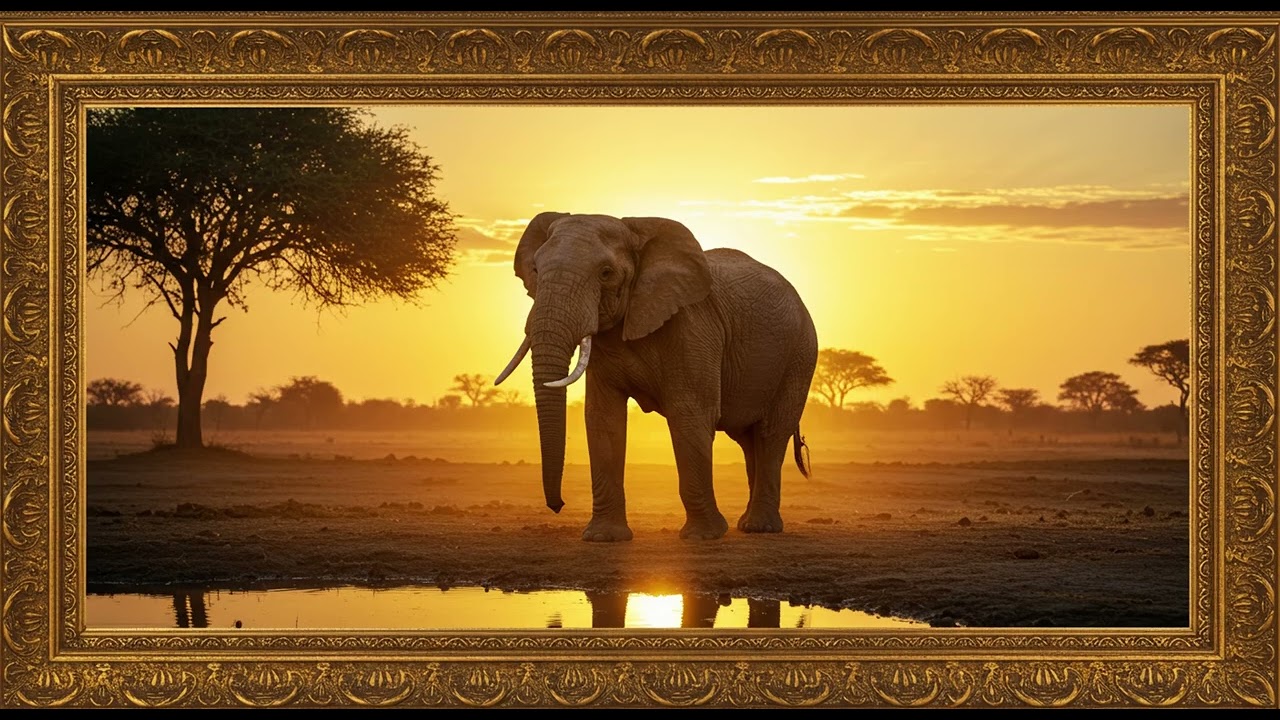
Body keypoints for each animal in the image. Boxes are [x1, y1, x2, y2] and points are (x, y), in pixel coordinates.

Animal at [495, 212, 818, 542]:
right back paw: (746, 525)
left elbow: (690, 413)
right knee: (747, 438)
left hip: (800, 355)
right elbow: (603, 418)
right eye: (536, 270)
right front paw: (603, 537)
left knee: (770, 432)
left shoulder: (693, 327)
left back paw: (759, 528)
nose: (558, 505)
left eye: (606, 273)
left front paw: (703, 537)